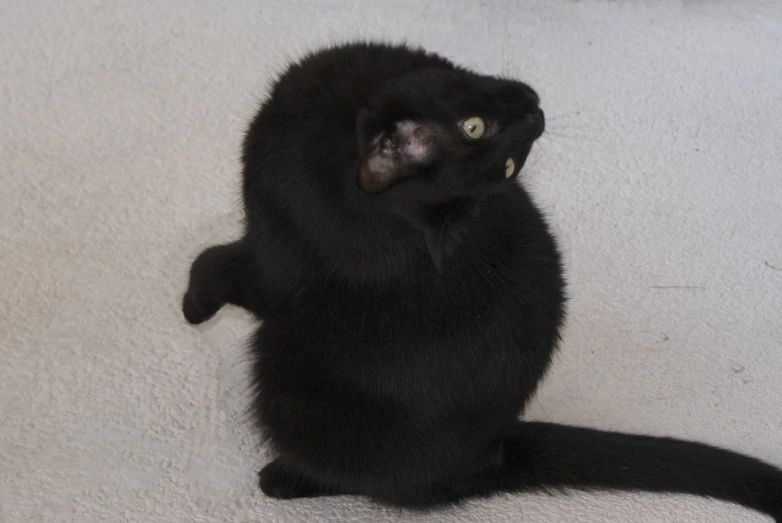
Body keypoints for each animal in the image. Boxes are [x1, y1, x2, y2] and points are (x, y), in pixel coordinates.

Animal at [185, 43, 782, 520]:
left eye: (511, 166)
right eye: (476, 128)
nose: (535, 110)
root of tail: (488, 454)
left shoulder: (274, 259)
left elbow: (213, 263)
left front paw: (192, 307)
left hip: (287, 387)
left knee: (366, 481)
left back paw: (284, 478)